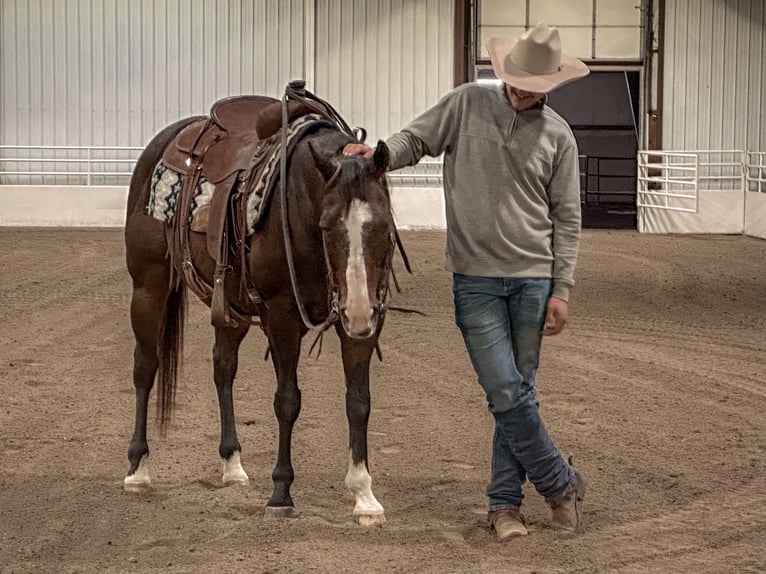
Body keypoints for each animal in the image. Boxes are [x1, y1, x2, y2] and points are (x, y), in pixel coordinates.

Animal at [123, 86, 400, 528]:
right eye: (326, 226)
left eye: (385, 225)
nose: (358, 312)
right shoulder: (282, 315)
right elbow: (287, 401)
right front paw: (281, 493)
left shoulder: (365, 320)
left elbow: (359, 403)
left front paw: (364, 496)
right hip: (148, 286)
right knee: (145, 367)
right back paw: (137, 469)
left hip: (228, 306)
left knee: (223, 368)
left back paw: (232, 464)